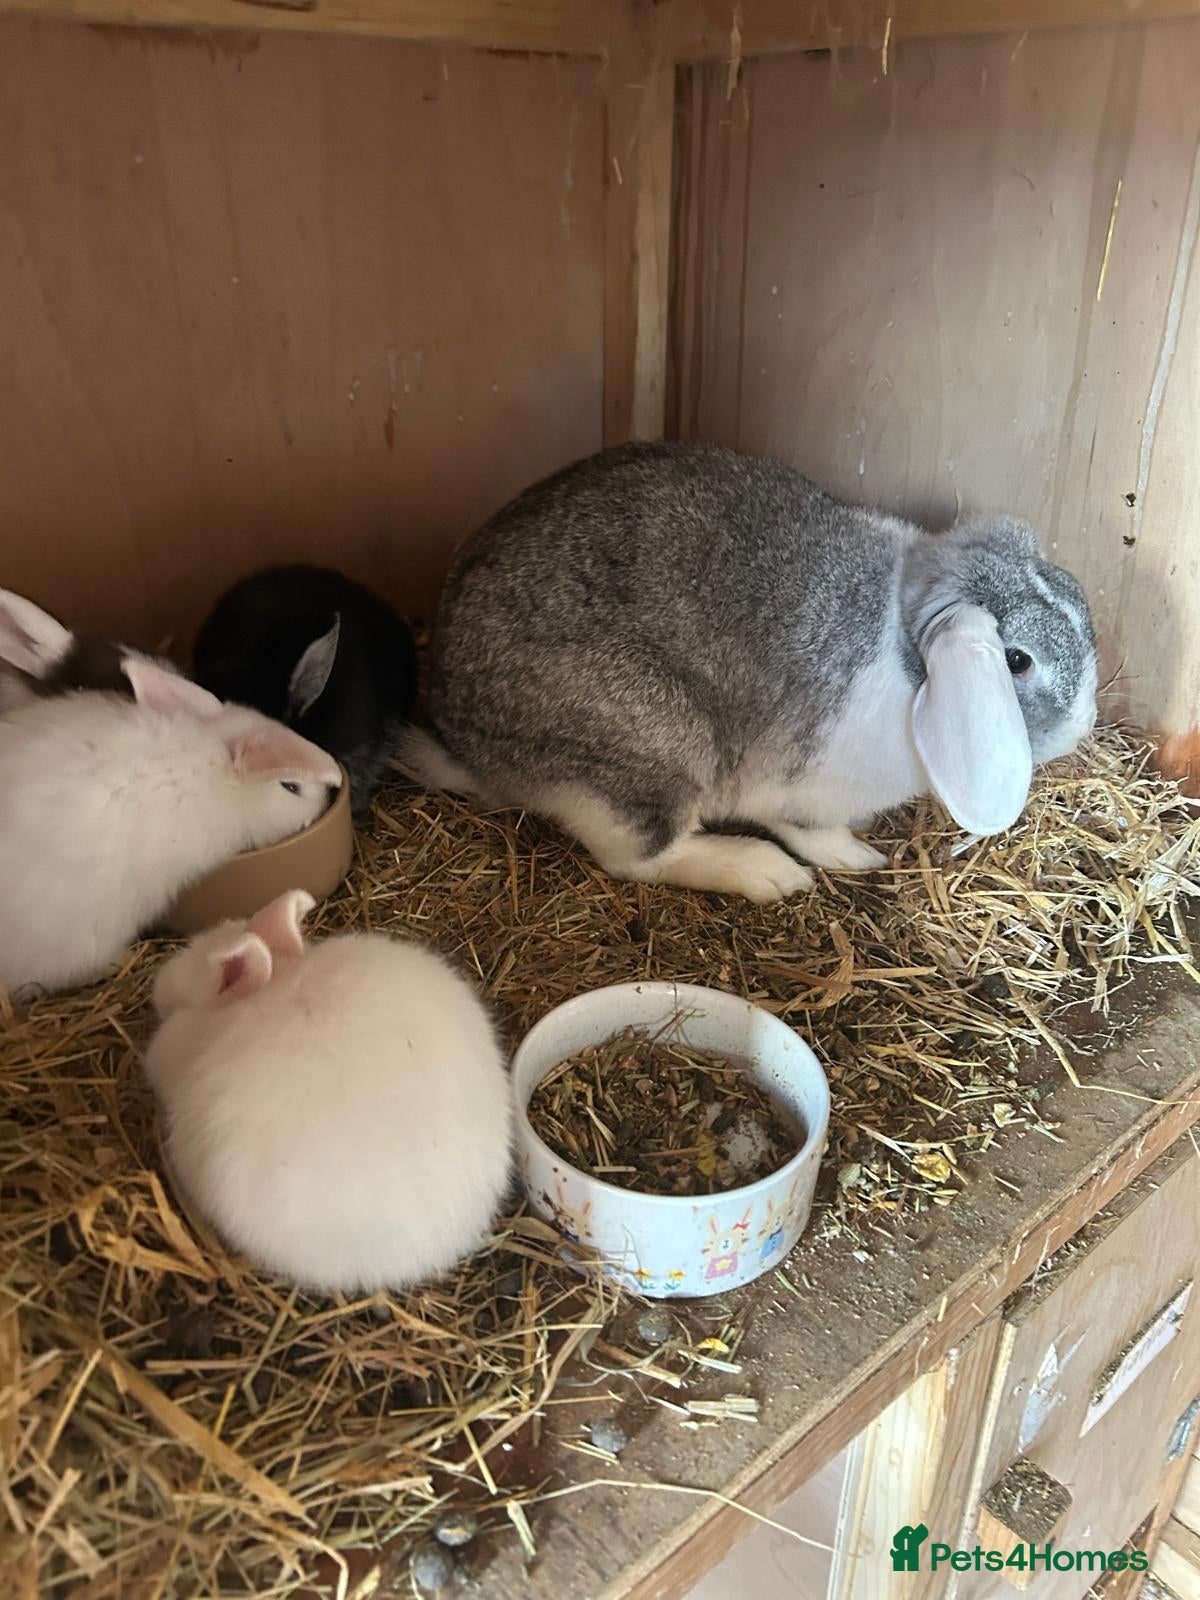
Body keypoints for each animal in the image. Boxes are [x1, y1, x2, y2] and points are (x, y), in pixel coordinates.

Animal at [406, 441, 1098, 903]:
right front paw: (860, 857)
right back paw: (765, 873)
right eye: (1017, 660)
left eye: (1077, 597)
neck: (905, 651)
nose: (1085, 724)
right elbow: (810, 831)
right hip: (656, 752)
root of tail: (470, 749)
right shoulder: (802, 791)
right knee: (639, 858)